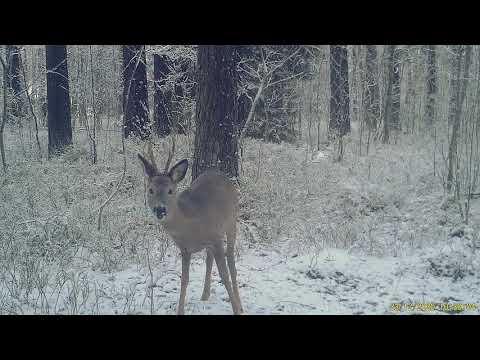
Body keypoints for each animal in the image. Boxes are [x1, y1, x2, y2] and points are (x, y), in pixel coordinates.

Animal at [139, 144, 244, 316]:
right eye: (150, 189)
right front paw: (180, 311)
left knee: (231, 262)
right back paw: (205, 295)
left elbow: (224, 275)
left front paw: (236, 310)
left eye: (170, 190)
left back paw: (240, 304)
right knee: (209, 260)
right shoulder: (185, 249)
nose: (160, 210)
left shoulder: (216, 238)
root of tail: (222, 175)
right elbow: (184, 279)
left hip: (232, 221)